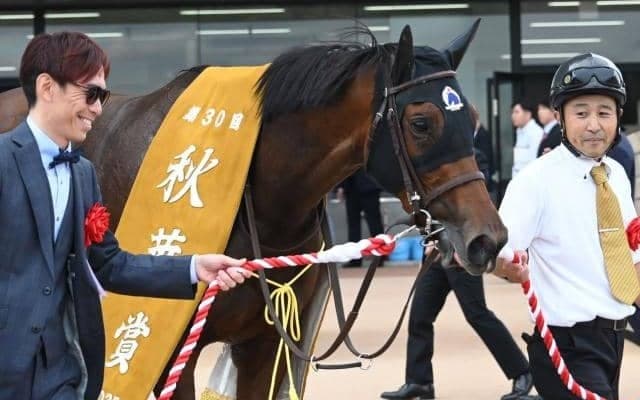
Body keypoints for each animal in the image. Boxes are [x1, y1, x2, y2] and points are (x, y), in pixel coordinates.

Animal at [0, 21, 507, 399]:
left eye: (473, 120)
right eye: (421, 123)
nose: (487, 238)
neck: (259, 205)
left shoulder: (266, 347)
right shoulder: (173, 357)